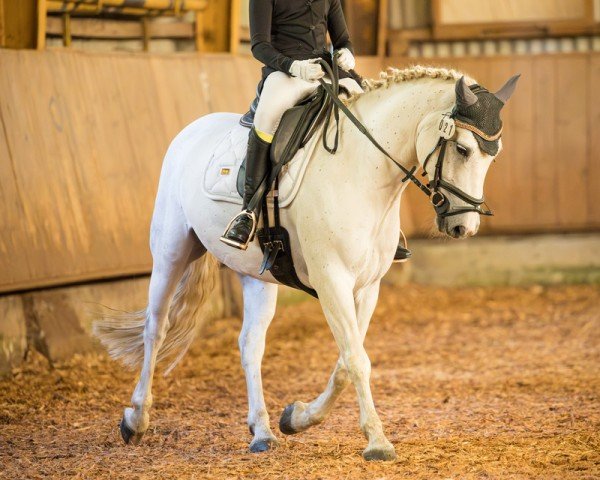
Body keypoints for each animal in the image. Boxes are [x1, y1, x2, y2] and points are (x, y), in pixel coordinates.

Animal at [96, 64, 516, 462]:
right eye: (463, 149)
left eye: (493, 155)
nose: (463, 226)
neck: (360, 170)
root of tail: (192, 129)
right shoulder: (332, 281)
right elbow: (357, 360)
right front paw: (378, 442)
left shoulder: (367, 287)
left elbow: (346, 363)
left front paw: (297, 417)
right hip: (171, 250)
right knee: (156, 328)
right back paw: (136, 420)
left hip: (257, 276)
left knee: (250, 344)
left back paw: (262, 432)